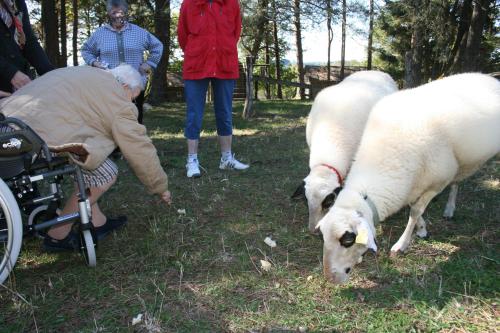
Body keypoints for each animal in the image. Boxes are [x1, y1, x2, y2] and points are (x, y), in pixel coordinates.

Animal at [316, 73, 500, 282]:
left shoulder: (436, 182)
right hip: (460, 162)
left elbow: (415, 211)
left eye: (347, 240)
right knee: (456, 182)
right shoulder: (413, 184)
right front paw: (422, 229)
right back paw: (449, 209)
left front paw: (402, 244)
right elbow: (414, 207)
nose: (330, 278)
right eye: (323, 236)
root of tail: (489, 78)